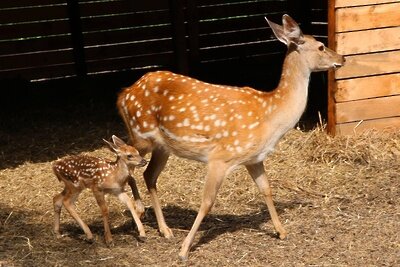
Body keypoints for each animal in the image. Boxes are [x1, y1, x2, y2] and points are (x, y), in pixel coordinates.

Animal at [117, 14, 346, 260]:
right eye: (321, 46)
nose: (342, 58)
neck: (270, 117)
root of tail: (123, 94)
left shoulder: (254, 159)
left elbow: (266, 189)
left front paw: (281, 231)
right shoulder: (220, 157)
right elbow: (207, 201)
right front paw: (184, 250)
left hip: (163, 146)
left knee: (149, 174)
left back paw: (164, 229)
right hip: (141, 133)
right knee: (124, 157)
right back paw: (140, 212)